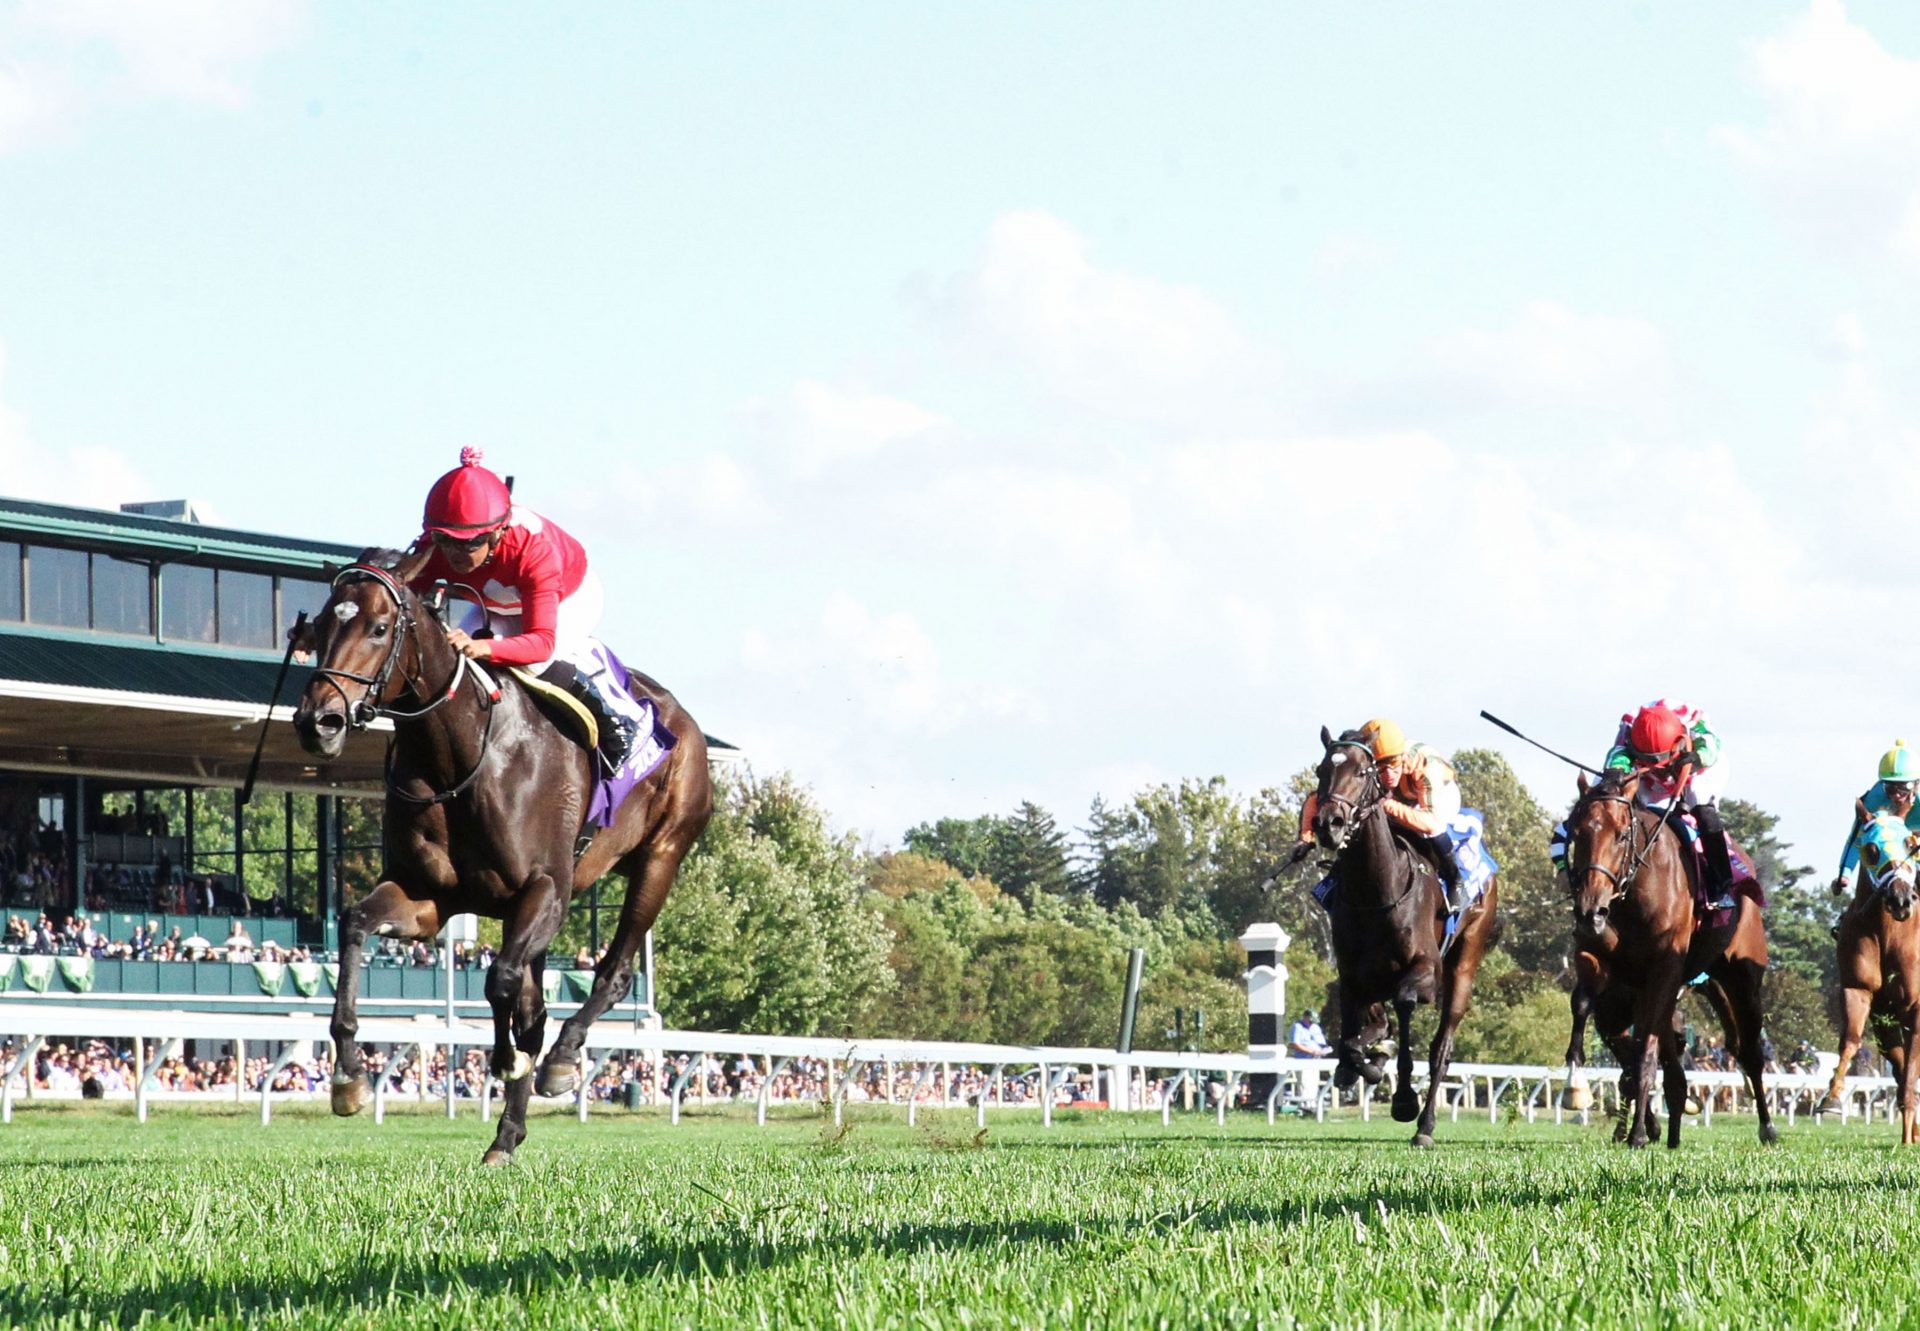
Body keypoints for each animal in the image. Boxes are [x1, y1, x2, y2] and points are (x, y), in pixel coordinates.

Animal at [295, 549, 718, 1160]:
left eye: (378, 628)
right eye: (322, 625)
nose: (317, 722)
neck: (461, 751)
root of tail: (683, 717)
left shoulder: (545, 889)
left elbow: (499, 979)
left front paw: (504, 1059)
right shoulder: (428, 897)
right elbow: (353, 925)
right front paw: (349, 1076)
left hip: (661, 856)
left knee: (611, 974)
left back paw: (560, 1061)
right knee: (534, 1006)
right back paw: (507, 1135)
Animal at [1305, 726, 1497, 1144]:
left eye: (1363, 772)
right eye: (1321, 770)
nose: (1329, 823)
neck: (1376, 891)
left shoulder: (1425, 969)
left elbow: (1406, 1007)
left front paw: (1404, 1098)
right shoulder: (1352, 975)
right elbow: (1352, 1039)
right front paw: (1362, 1063)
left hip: (1465, 961)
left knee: (1441, 1048)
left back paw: (1425, 1125)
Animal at [1551, 772, 1774, 1144]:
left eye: (1621, 834)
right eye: (1576, 833)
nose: (1589, 910)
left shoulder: (1663, 969)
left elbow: (1644, 1052)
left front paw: (1638, 1133)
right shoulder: (1597, 962)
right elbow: (1582, 1006)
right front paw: (1576, 1086)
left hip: (1741, 977)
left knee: (1750, 1050)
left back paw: (1767, 1127)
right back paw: (1671, 1129)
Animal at [1812, 810, 1920, 1144]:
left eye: (1910, 843)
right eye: (1871, 848)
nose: (1901, 900)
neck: (1889, 932)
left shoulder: (1916, 1007)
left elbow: (1910, 1071)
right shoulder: (1861, 993)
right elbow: (1850, 1040)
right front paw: (1831, 1098)